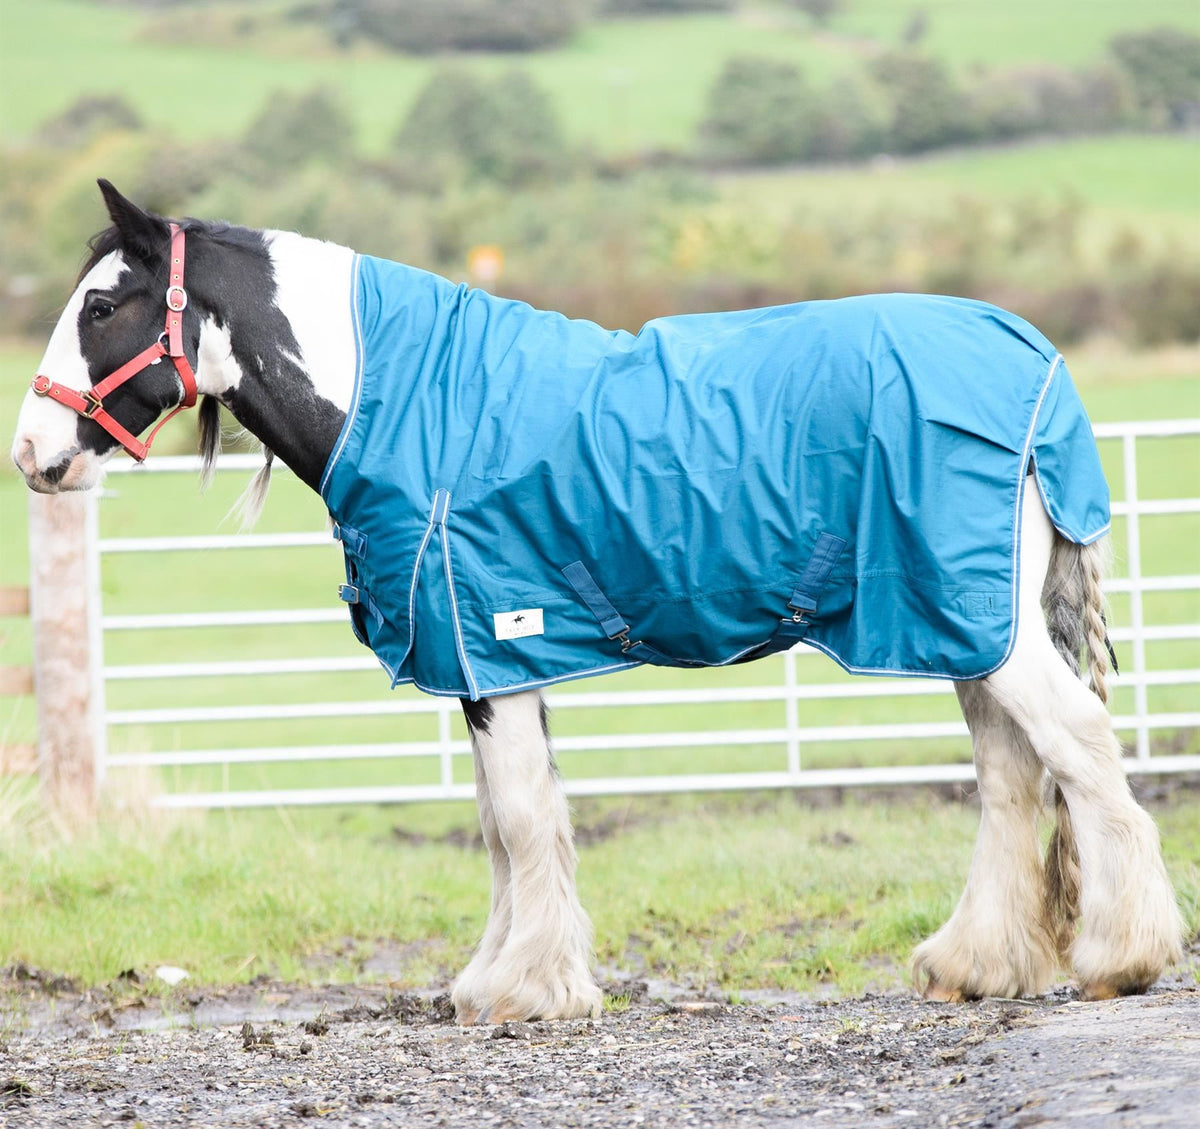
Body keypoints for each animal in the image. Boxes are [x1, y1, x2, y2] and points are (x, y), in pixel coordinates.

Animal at [11, 181, 1183, 1023]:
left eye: (102, 306)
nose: (31, 453)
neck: (417, 402)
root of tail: (1031, 356)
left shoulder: (492, 647)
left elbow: (523, 818)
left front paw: (525, 991)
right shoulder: (492, 660)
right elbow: (502, 823)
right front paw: (500, 974)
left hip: (977, 621)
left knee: (1076, 748)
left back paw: (1123, 956)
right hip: (960, 621)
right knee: (1012, 775)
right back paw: (975, 964)